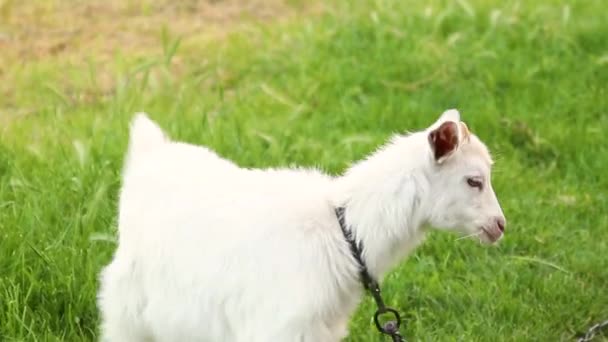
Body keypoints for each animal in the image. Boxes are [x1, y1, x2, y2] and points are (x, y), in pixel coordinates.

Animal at [100, 109, 506, 342]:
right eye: (474, 181)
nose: (500, 225)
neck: (344, 233)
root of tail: (150, 154)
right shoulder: (277, 327)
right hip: (128, 309)